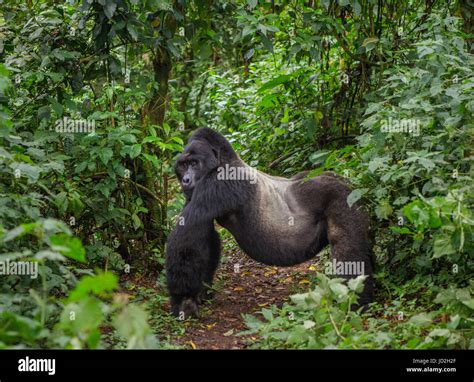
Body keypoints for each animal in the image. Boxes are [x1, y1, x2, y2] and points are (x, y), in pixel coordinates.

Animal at [165, 127, 372, 318]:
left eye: (194, 163)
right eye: (183, 165)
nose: (185, 180)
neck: (224, 160)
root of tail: (349, 183)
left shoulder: (220, 181)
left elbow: (189, 231)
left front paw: (183, 300)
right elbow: (207, 237)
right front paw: (200, 292)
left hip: (343, 197)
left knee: (347, 247)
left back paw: (354, 303)